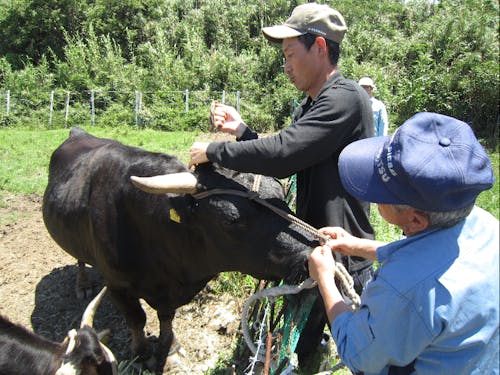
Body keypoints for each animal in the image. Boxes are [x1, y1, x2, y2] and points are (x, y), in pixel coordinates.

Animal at [44, 129, 316, 374]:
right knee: (80, 258)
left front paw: (170, 350)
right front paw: (142, 355)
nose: (308, 254)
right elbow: (137, 319)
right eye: (230, 219)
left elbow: (166, 317)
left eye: (282, 194)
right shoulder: (117, 286)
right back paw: (83, 285)